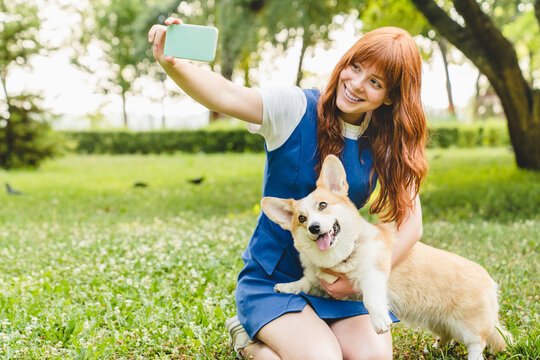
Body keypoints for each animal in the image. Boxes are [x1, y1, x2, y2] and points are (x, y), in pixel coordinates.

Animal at [262, 155, 510, 360]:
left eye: (322, 205)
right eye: (301, 219)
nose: (313, 227)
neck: (340, 256)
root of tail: (489, 281)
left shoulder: (373, 274)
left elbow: (371, 299)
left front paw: (380, 321)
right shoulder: (319, 283)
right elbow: (304, 282)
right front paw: (286, 287)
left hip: (469, 327)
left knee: (477, 344)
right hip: (439, 321)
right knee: (447, 335)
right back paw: (435, 348)